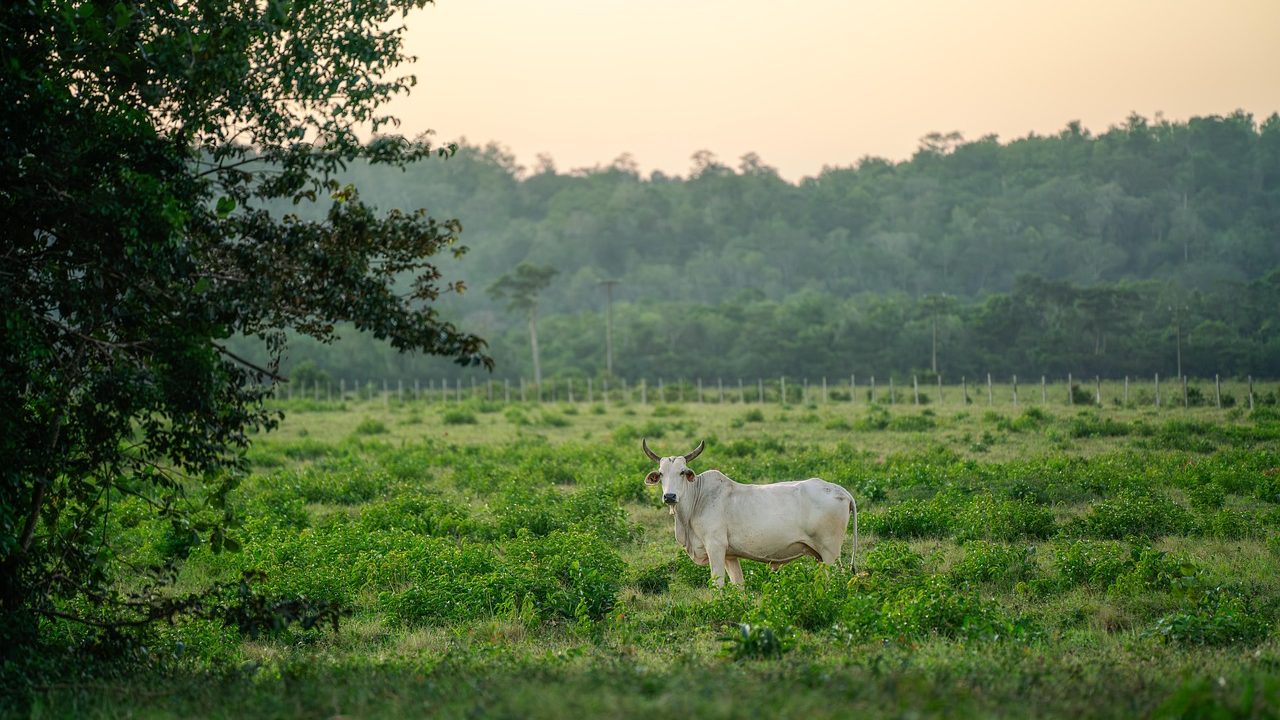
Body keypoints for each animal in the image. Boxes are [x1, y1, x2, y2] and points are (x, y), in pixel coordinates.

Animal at [640, 438, 860, 584]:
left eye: (682, 472)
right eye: (661, 474)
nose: (670, 496)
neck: (697, 500)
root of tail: (842, 491)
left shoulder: (715, 547)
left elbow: (718, 584)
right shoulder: (730, 556)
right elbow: (738, 585)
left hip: (830, 553)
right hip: (820, 556)